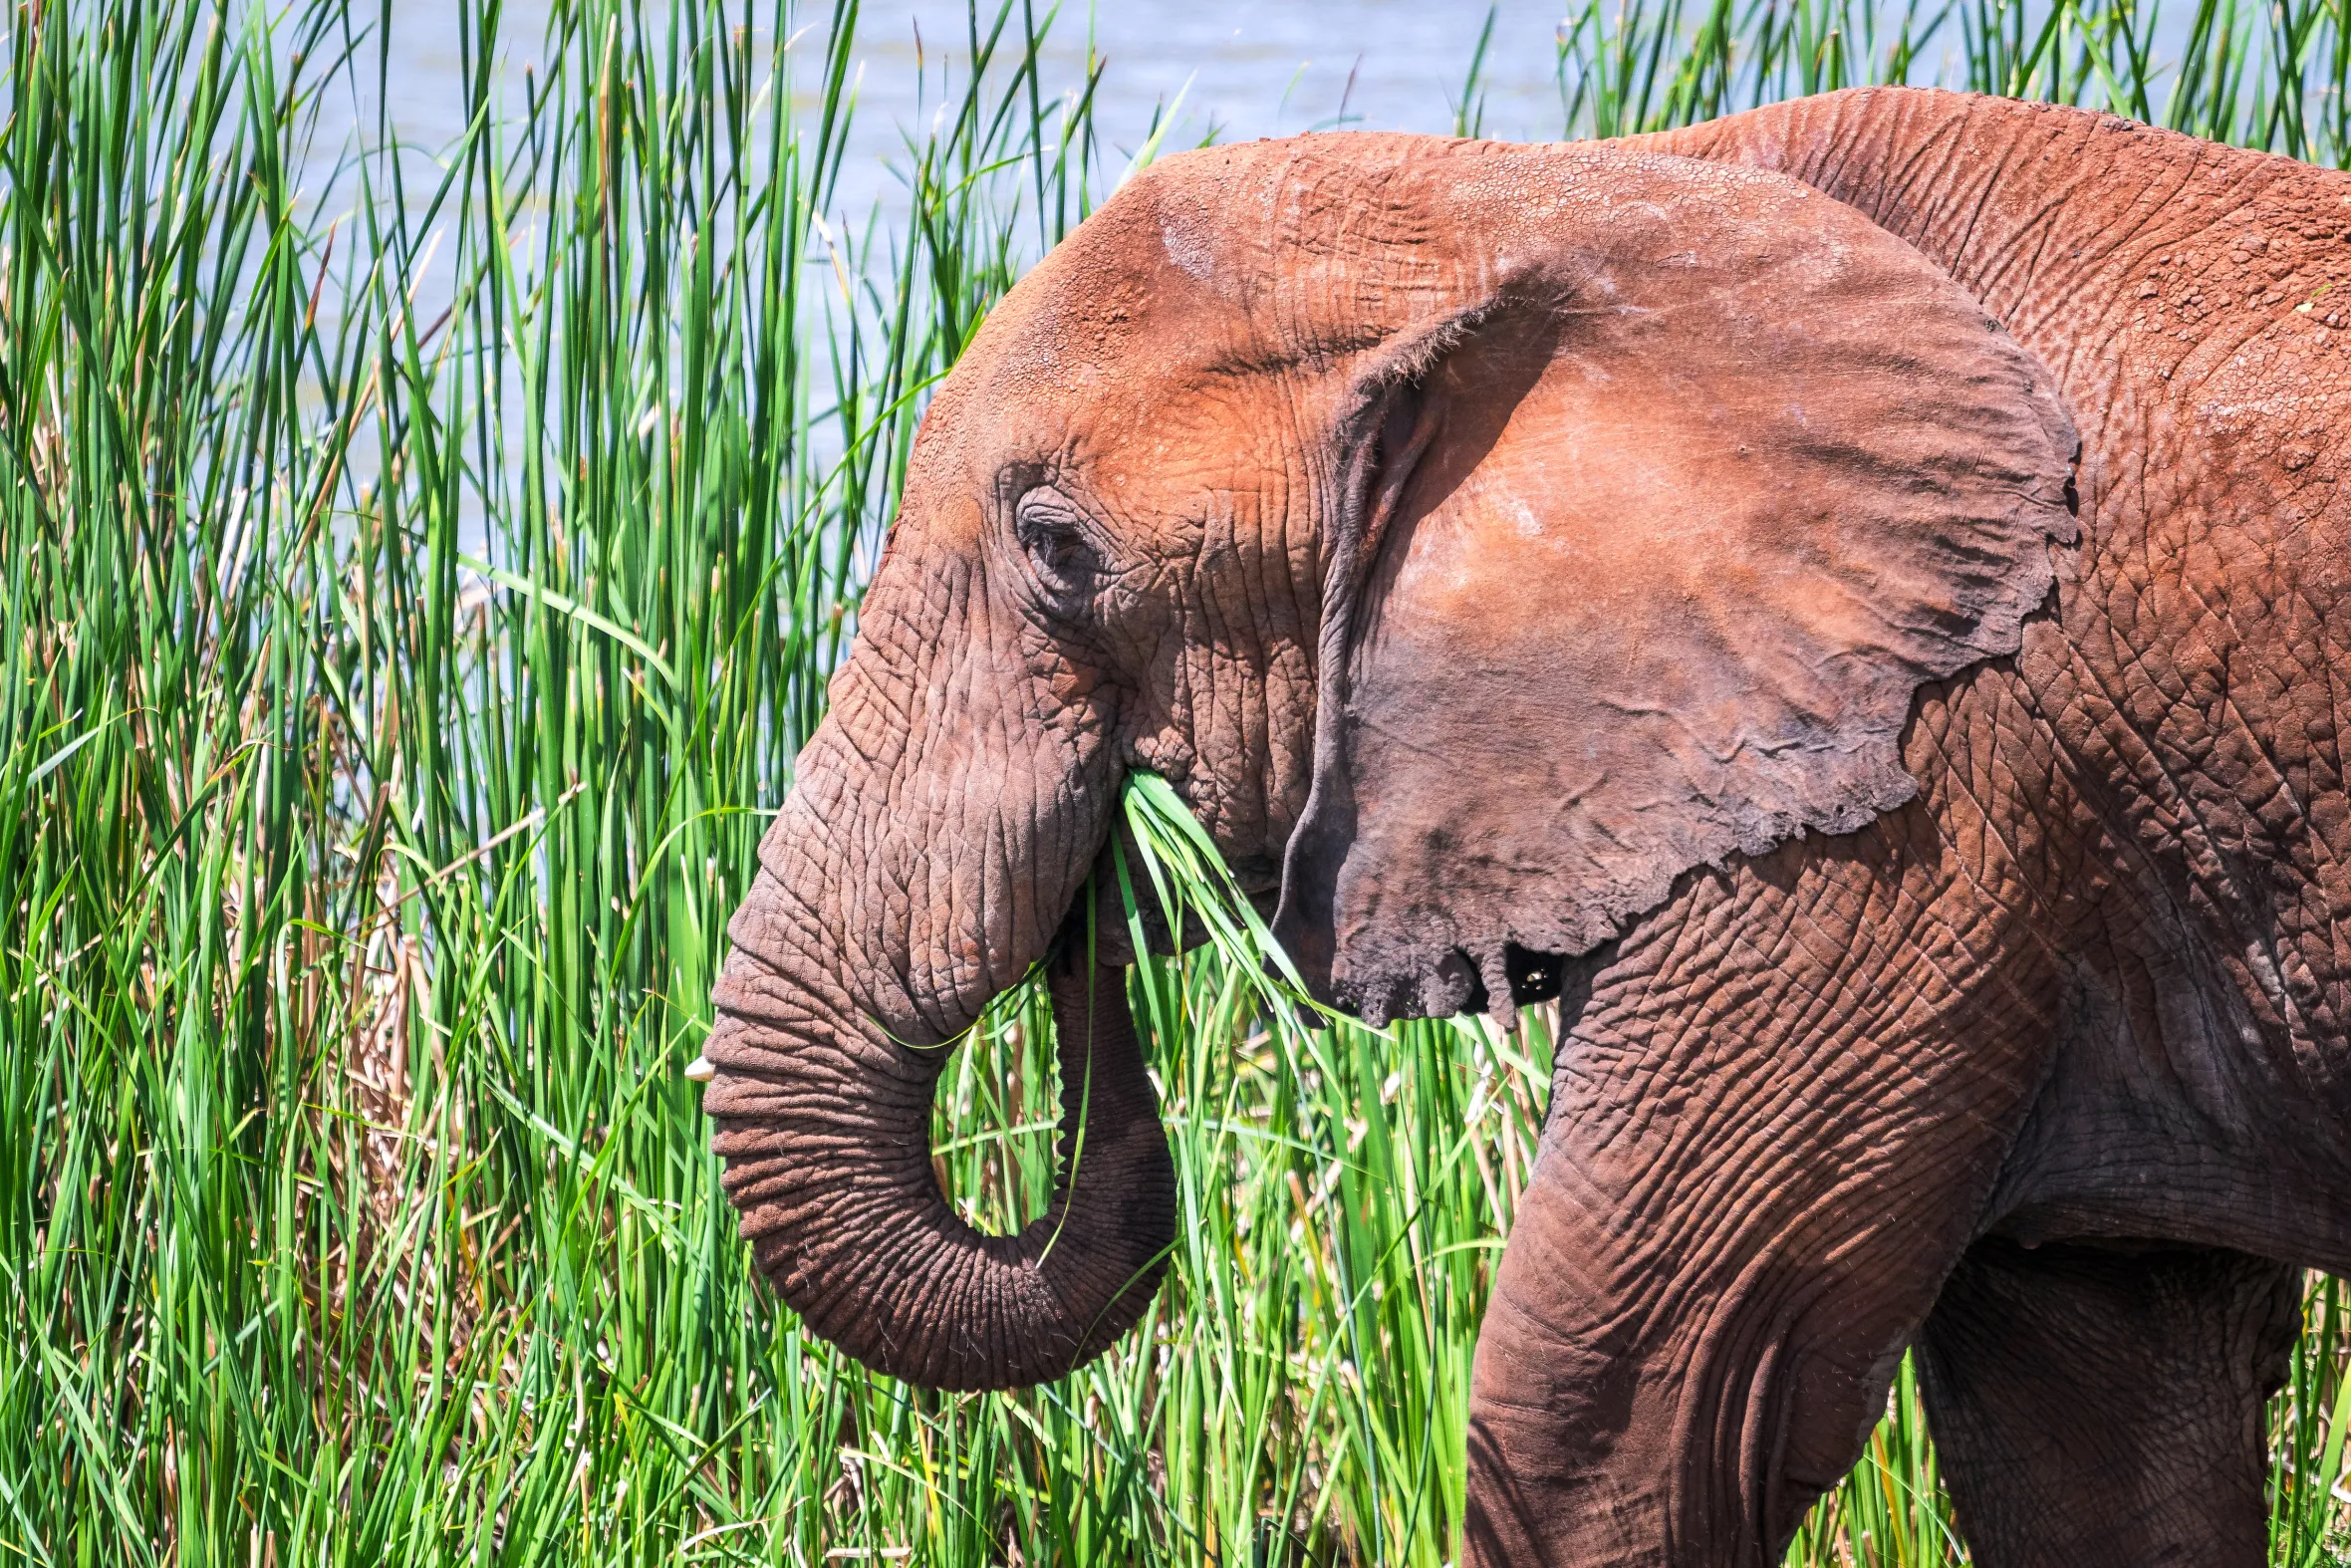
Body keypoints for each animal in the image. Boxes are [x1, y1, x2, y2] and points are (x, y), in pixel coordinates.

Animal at [696, 85, 2351, 1565]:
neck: (1562, 194)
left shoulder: (1900, 805)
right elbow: (2097, 1434)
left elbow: (1633, 1414)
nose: (1098, 902)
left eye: (1057, 552)